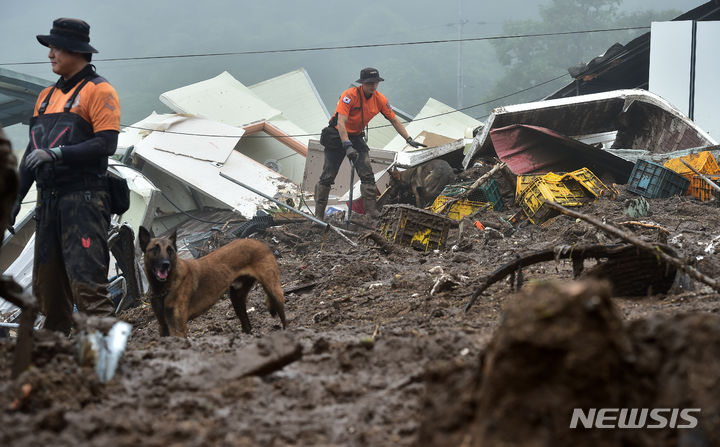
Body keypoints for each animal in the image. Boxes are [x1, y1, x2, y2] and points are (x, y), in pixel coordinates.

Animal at [138, 226, 286, 338]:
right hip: (236, 298)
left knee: (284, 319)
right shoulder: (163, 327)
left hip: (273, 290)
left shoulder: (177, 328)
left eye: (170, 250)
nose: (165, 264)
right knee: (247, 326)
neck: (164, 288)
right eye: (155, 249)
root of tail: (258, 242)